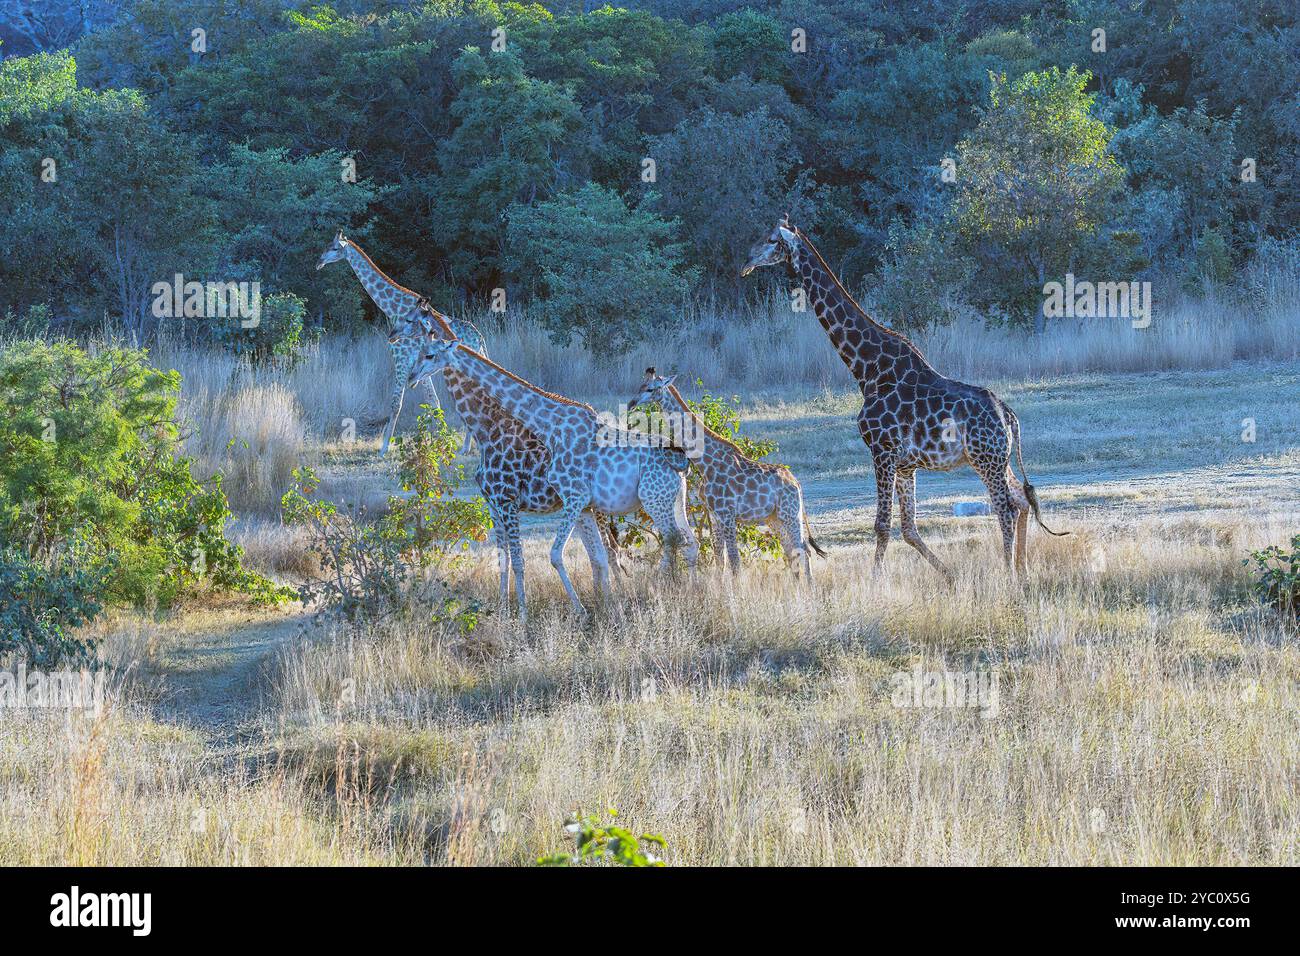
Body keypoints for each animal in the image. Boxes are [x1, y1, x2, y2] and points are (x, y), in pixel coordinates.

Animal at [315, 232, 485, 455]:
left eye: (334, 248)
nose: (319, 261)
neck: (393, 308)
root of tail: (480, 339)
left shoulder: (401, 359)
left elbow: (396, 403)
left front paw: (384, 447)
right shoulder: (418, 366)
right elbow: (433, 401)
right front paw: (438, 441)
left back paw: (467, 447)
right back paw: (466, 447)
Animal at [409, 340, 698, 616]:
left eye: (430, 355)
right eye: (419, 350)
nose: (412, 376)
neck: (551, 426)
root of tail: (680, 461)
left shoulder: (570, 497)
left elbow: (554, 555)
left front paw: (575, 612)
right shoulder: (582, 505)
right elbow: (595, 557)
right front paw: (608, 607)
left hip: (653, 499)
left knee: (671, 537)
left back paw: (662, 588)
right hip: (674, 499)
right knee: (687, 540)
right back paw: (681, 588)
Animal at [627, 367, 825, 579]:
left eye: (651, 388)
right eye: (640, 386)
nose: (631, 403)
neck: (706, 463)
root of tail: (796, 483)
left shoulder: (727, 514)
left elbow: (734, 560)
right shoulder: (715, 516)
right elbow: (719, 559)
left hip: (790, 514)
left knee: (804, 549)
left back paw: (808, 586)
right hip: (775, 518)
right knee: (791, 551)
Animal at [741, 216, 1067, 579]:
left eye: (772, 239)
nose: (746, 262)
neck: (866, 369)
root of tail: (1009, 416)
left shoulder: (881, 450)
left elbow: (882, 525)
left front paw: (874, 582)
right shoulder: (906, 464)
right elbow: (909, 527)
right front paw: (948, 575)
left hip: (986, 460)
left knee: (1006, 507)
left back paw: (1008, 572)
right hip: (998, 459)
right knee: (1022, 500)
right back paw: (1022, 572)